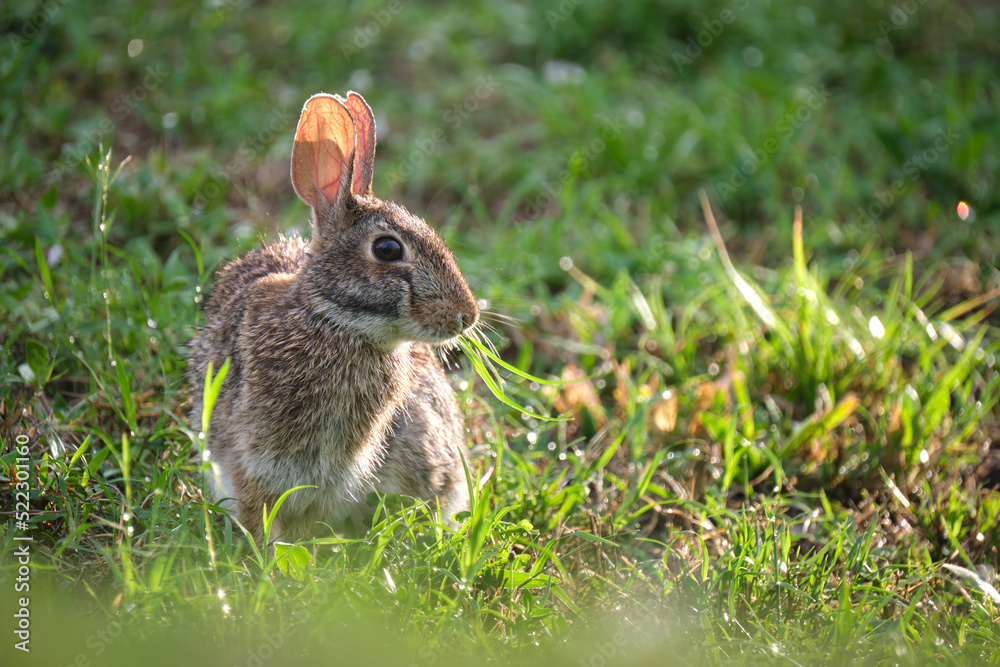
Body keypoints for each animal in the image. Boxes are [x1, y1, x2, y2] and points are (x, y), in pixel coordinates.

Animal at [188, 91, 479, 544]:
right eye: (388, 249)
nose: (467, 315)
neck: (333, 322)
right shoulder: (249, 458)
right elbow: (257, 511)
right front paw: (268, 554)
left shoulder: (339, 473)